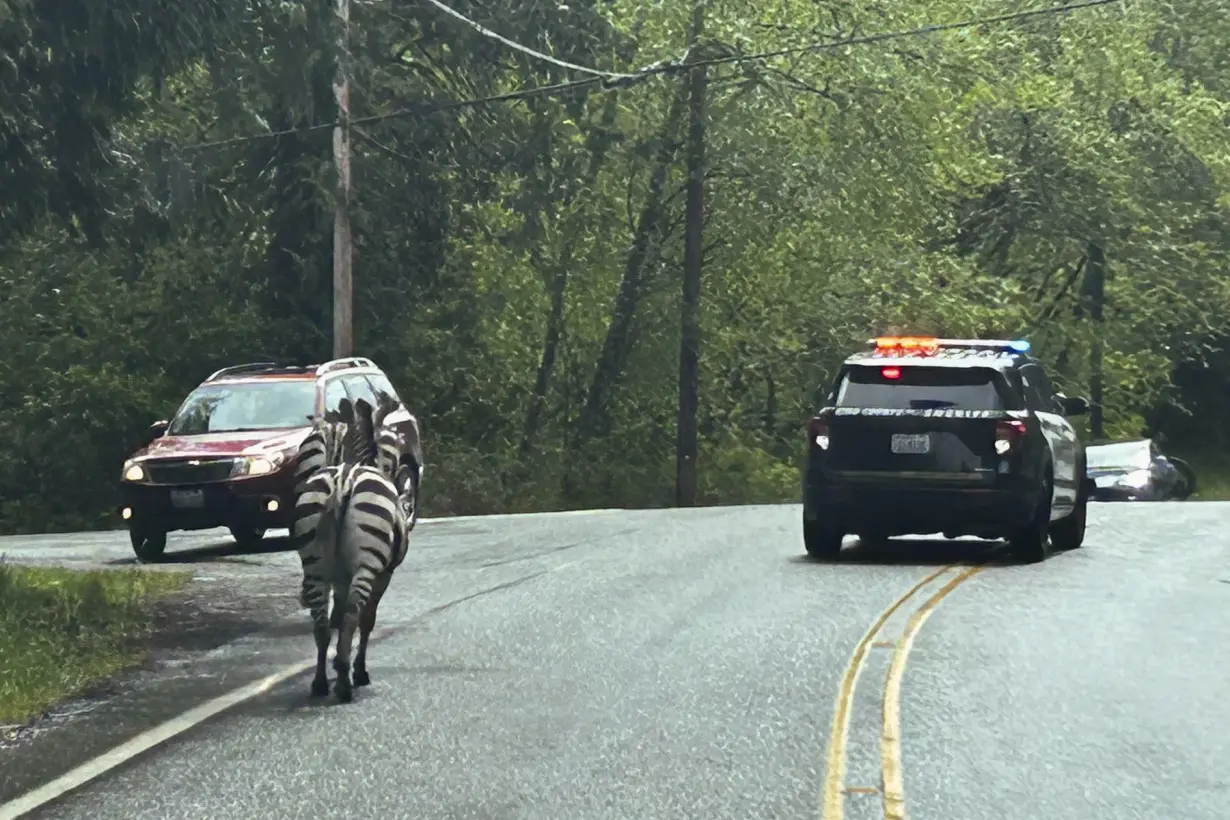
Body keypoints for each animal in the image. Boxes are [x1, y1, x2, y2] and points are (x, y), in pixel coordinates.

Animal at [287, 398, 408, 708]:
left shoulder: (340, 577)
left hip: (315, 565)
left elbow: (337, 618)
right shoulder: (385, 574)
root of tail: (343, 482)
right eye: (391, 444)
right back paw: (344, 683)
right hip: (368, 563)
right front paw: (359, 671)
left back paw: (321, 682)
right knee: (355, 613)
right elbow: (367, 620)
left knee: (320, 622)